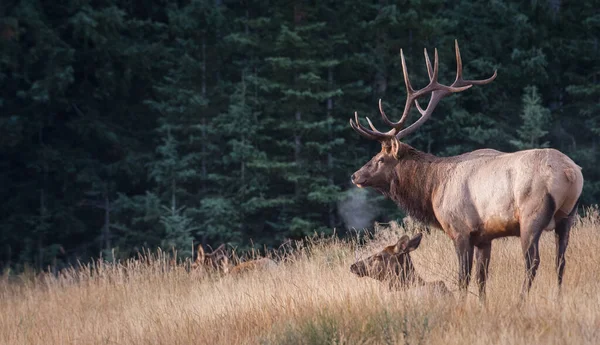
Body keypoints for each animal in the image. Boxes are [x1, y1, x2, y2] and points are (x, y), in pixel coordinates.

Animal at [350, 40, 584, 302]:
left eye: (380, 158)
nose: (355, 175)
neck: (432, 189)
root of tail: (571, 173)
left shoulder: (460, 230)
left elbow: (463, 278)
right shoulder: (484, 237)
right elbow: (482, 280)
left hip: (531, 215)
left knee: (533, 262)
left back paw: (521, 300)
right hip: (568, 217)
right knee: (560, 261)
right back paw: (558, 299)